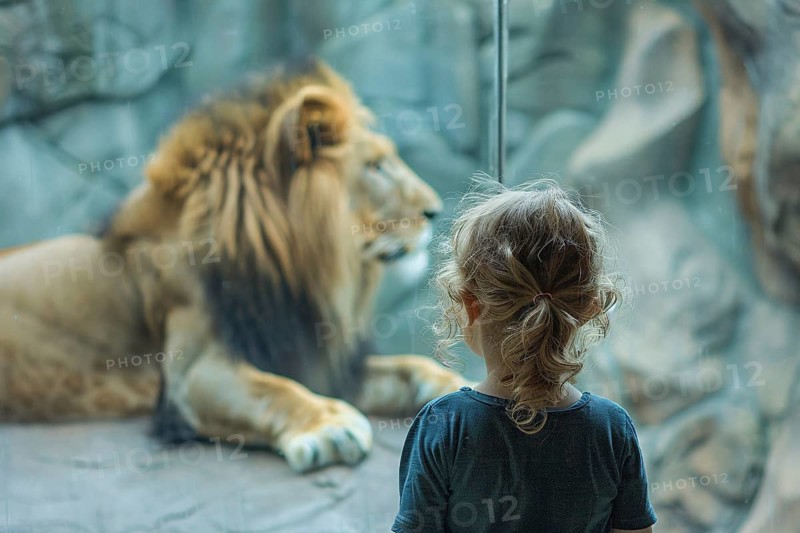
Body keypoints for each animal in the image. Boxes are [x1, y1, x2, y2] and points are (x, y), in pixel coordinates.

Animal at [0, 59, 467, 472]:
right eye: (376, 166)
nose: (434, 211)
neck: (294, 274)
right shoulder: (191, 374)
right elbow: (272, 389)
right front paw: (329, 426)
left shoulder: (314, 355)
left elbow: (410, 367)